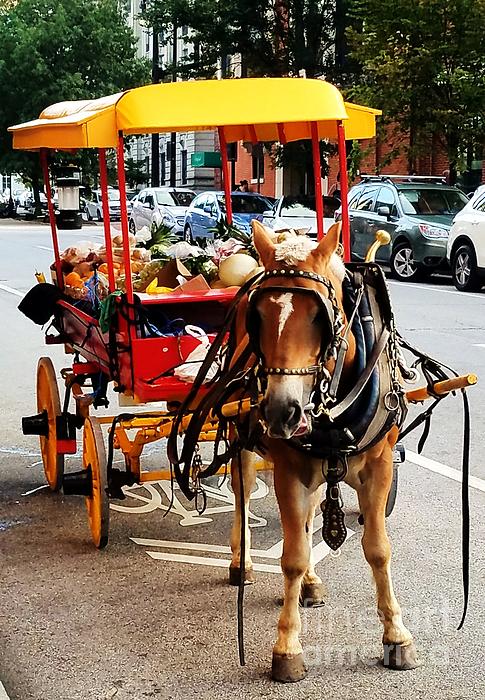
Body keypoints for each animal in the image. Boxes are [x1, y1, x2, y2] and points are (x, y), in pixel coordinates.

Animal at [228, 220, 420, 684]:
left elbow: (378, 549)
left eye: (320, 317)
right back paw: (242, 560)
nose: (281, 411)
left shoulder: (379, 466)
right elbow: (292, 556)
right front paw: (287, 646)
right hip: (242, 442)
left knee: (312, 511)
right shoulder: (288, 470)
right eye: (257, 317)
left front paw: (396, 635)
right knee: (243, 498)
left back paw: (312, 584)